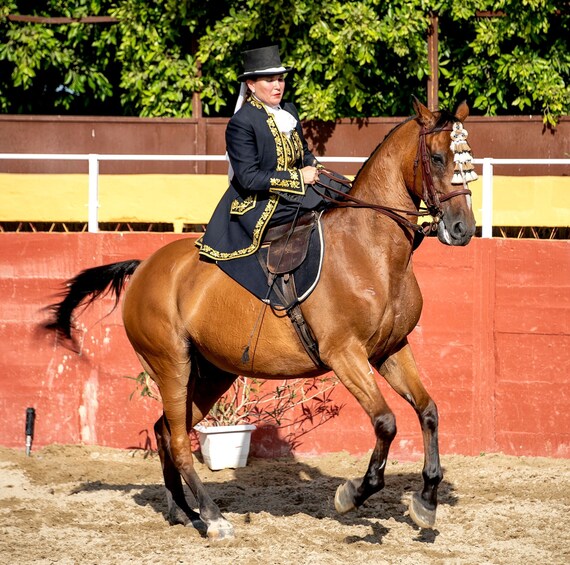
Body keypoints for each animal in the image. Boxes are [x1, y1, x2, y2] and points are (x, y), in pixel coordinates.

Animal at [45, 99, 474, 540]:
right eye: (437, 158)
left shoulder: (390, 350)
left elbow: (428, 410)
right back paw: (213, 517)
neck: (369, 248)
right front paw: (353, 494)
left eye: (468, 159)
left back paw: (184, 510)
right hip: (171, 365)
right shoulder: (344, 354)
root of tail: (144, 266)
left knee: (166, 430)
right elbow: (386, 422)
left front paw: (426, 501)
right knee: (178, 441)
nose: (463, 228)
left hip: (211, 373)